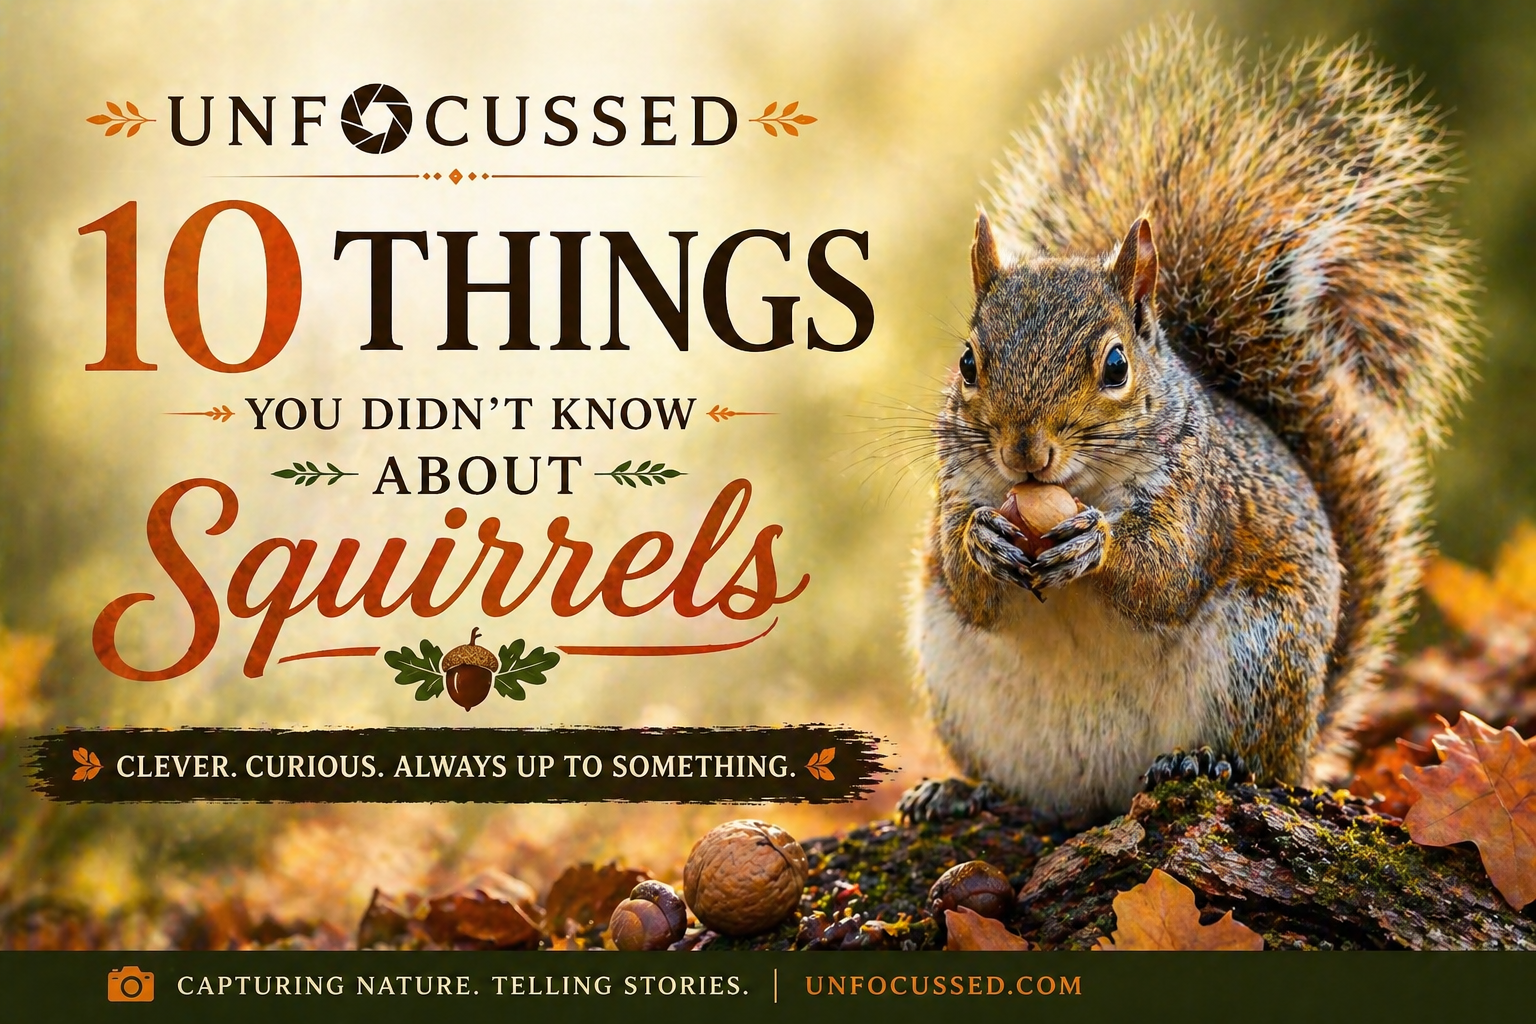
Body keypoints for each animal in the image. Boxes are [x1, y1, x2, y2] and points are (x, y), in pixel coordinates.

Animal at [903, 21, 1477, 821]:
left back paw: (1203, 761)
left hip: (1258, 663)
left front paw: (1099, 545)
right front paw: (983, 542)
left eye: (1116, 366)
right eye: (966, 362)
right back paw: (961, 792)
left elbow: (1168, 574)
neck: (1078, 488)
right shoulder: (955, 489)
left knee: (1254, 757)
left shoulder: (1199, 496)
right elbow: (967, 587)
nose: (1024, 453)